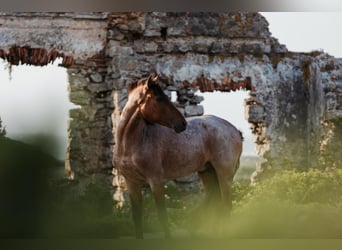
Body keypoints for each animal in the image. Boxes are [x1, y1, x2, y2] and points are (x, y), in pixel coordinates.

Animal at [113, 74, 242, 238]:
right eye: (159, 99)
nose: (182, 123)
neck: (130, 144)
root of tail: (235, 130)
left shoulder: (155, 181)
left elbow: (162, 216)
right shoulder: (131, 182)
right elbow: (137, 217)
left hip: (224, 175)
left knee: (226, 207)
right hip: (208, 174)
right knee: (216, 206)